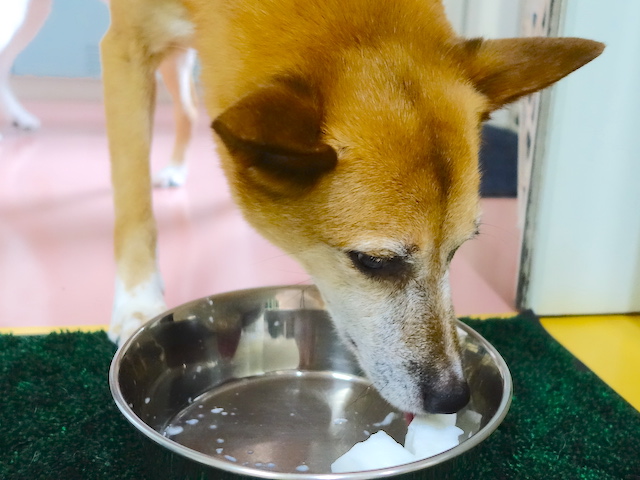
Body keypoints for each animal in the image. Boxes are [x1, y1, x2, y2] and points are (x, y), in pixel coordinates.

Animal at [102, 0, 604, 414]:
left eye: (458, 251)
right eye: (373, 262)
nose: (452, 398)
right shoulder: (125, 47)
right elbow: (131, 196)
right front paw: (137, 303)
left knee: (189, 111)